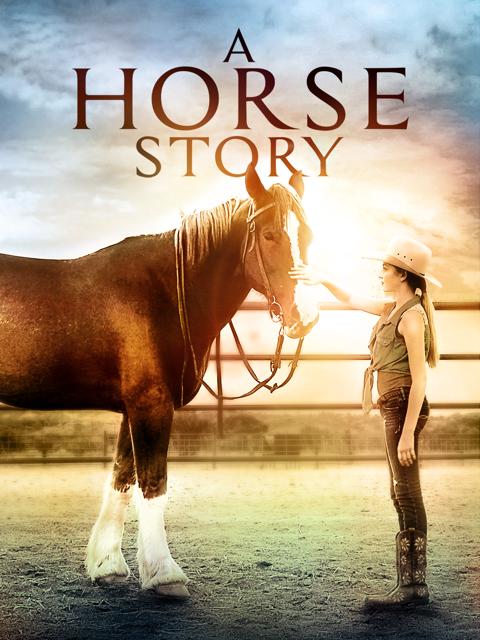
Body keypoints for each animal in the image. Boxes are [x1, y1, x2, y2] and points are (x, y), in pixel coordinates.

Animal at [0, 164, 318, 598]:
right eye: (270, 234)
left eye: (309, 234)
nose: (306, 316)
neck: (166, 291)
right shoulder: (150, 403)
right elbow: (153, 483)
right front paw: (165, 574)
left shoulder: (131, 408)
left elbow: (122, 477)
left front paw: (107, 565)